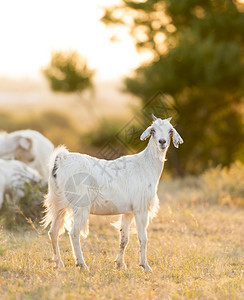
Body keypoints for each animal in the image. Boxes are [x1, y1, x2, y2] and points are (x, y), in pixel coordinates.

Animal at [43, 114, 183, 270]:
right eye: (153, 130)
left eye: (170, 131)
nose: (162, 142)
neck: (145, 165)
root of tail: (61, 160)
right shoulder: (141, 209)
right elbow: (143, 238)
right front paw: (145, 266)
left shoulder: (128, 212)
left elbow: (124, 239)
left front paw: (120, 264)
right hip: (80, 206)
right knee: (73, 233)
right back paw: (82, 264)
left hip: (59, 204)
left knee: (53, 232)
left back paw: (59, 263)